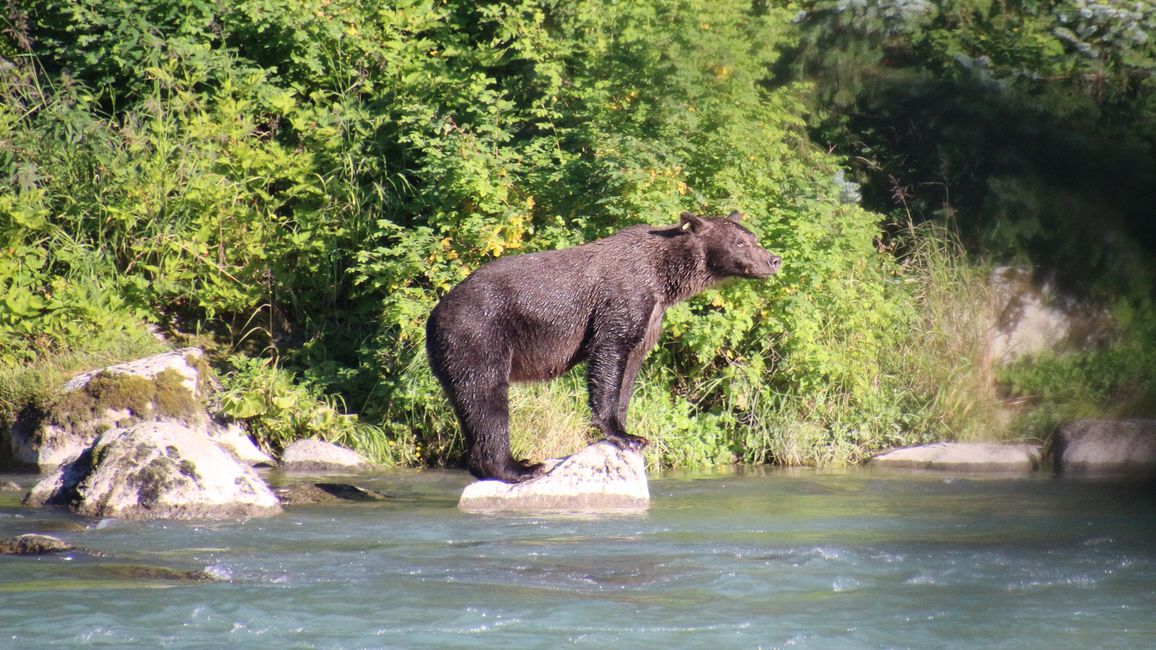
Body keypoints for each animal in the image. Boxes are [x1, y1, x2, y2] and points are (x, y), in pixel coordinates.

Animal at [427, 211, 786, 481]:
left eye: (754, 238)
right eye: (740, 242)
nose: (773, 259)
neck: (664, 277)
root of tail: (434, 315)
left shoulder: (651, 316)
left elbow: (630, 366)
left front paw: (631, 431)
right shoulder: (622, 296)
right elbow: (610, 354)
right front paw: (622, 435)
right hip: (478, 334)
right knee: (487, 398)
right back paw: (519, 467)